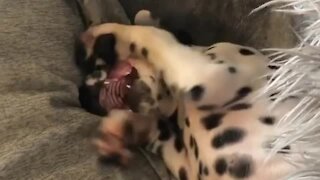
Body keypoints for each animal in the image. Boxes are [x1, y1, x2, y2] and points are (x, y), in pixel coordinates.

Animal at [76, 10, 298, 180]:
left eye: (97, 64)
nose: (83, 95)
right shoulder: (189, 169)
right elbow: (158, 133)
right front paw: (119, 130)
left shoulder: (203, 73)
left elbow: (148, 32)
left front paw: (102, 32)